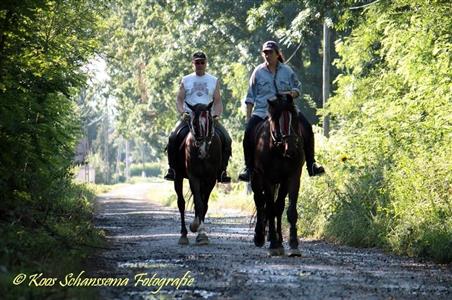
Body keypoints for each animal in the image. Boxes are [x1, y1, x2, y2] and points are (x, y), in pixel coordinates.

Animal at [174, 102, 222, 245]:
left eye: (210, 121)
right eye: (194, 123)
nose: (203, 149)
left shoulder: (211, 178)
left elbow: (204, 204)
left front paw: (201, 232)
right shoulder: (193, 176)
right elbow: (199, 204)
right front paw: (198, 229)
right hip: (178, 176)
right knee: (181, 203)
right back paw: (183, 235)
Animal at [251, 95, 304, 256]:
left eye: (294, 118)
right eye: (276, 120)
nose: (291, 147)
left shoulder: (291, 177)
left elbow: (286, 209)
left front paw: (293, 243)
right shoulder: (266, 179)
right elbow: (269, 208)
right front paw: (273, 244)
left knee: (276, 206)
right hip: (256, 179)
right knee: (260, 202)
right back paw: (259, 236)